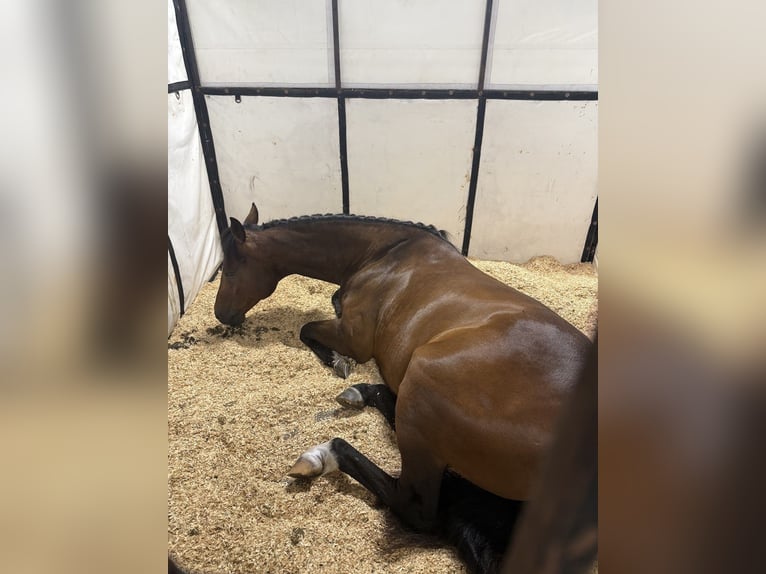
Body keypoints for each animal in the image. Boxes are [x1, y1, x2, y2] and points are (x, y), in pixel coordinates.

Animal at [214, 204, 591, 567]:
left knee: (414, 507)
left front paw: (336, 361)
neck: (385, 254)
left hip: (422, 383)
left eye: (229, 270)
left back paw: (323, 455)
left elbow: (307, 330)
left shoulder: (353, 337)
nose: (220, 314)